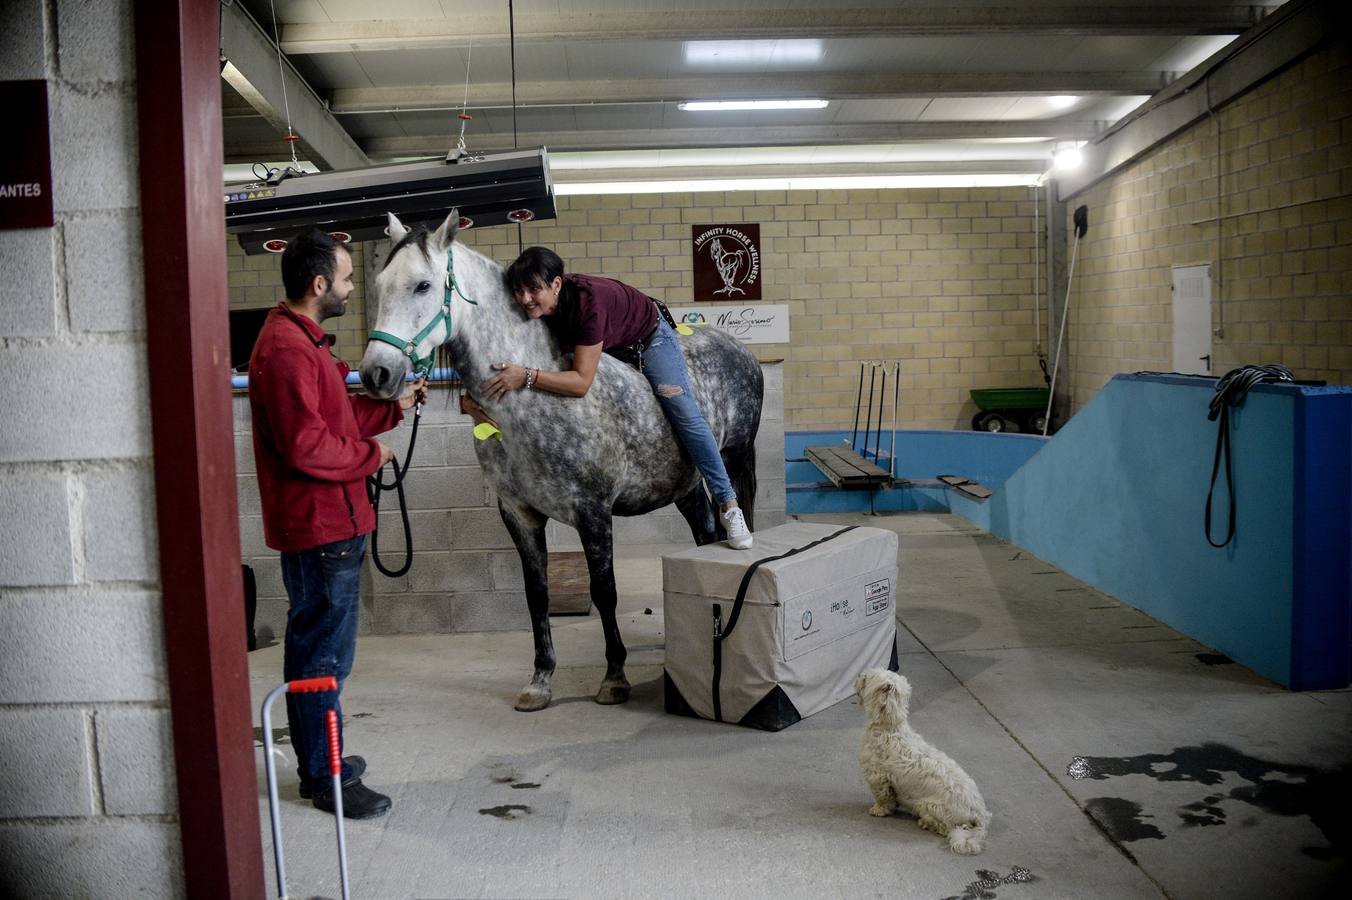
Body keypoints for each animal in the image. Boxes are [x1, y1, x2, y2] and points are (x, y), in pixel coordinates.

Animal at [359, 210, 762, 708]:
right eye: (379, 283)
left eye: (422, 285)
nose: (376, 373)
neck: (535, 403)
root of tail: (740, 349)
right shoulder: (519, 514)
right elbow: (537, 595)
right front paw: (540, 679)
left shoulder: (593, 512)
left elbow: (604, 592)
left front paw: (614, 677)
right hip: (684, 487)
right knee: (703, 535)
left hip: (732, 459)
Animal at [854, 664, 995, 848]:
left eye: (867, 677)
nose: (858, 675)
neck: (889, 728)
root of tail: (980, 812)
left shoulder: (877, 777)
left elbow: (883, 797)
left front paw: (879, 810)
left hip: (928, 806)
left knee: (945, 827)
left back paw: (925, 823)